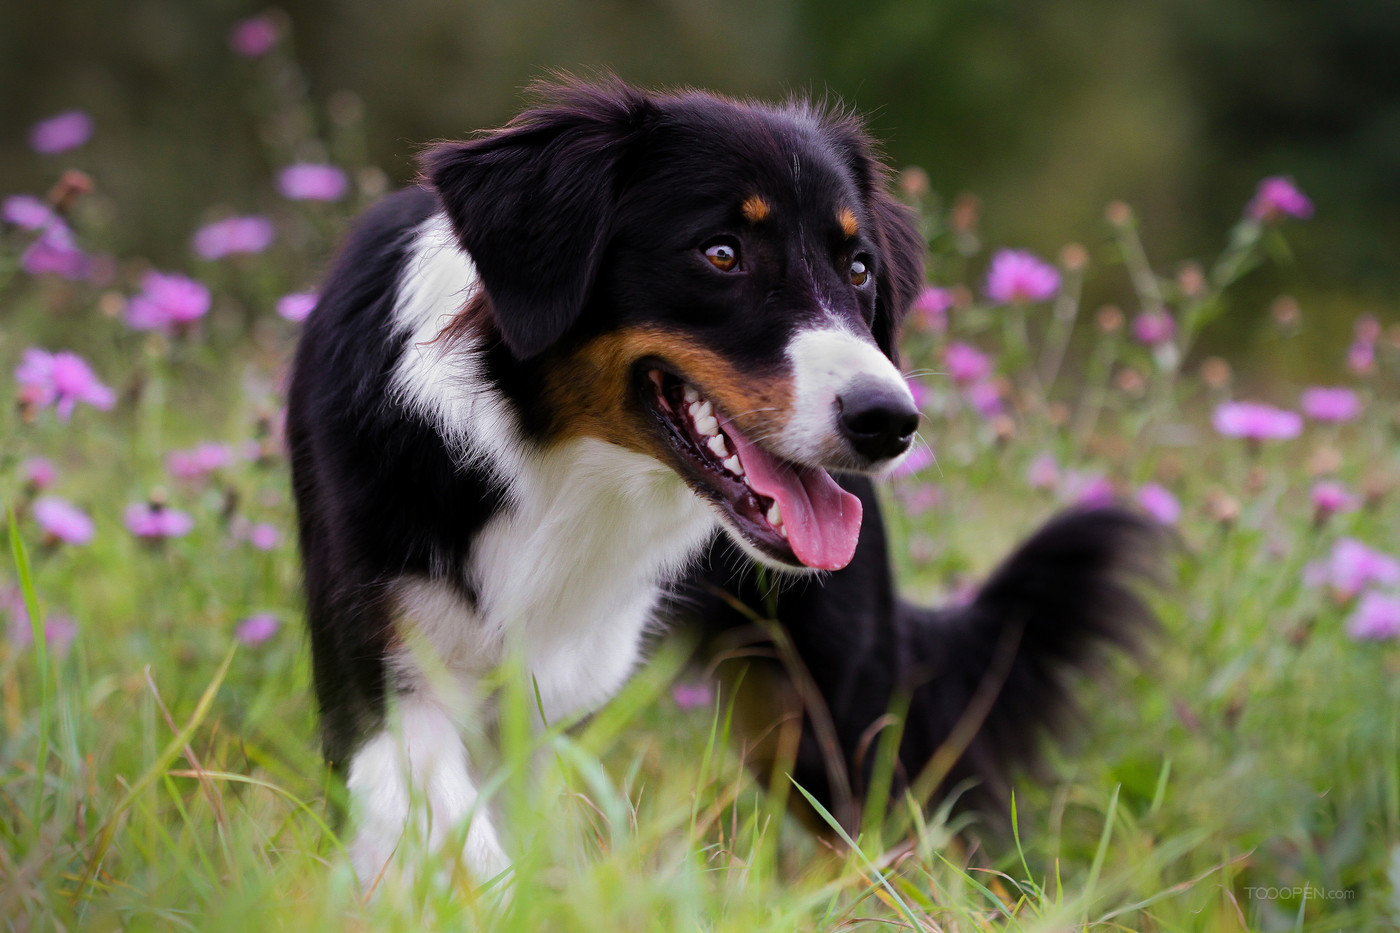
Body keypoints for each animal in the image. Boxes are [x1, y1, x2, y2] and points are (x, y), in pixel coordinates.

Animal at [284, 78, 1159, 885]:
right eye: (721, 253)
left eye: (859, 266)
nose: (890, 421)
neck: (548, 465)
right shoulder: (385, 682)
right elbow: (460, 843)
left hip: (837, 720)